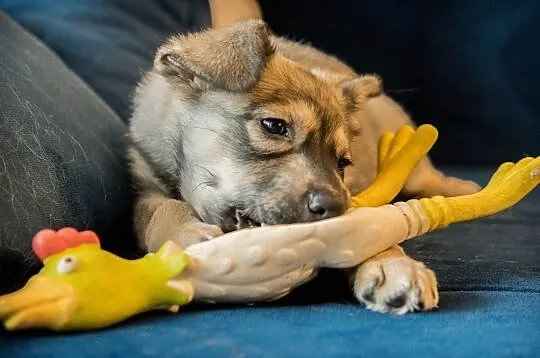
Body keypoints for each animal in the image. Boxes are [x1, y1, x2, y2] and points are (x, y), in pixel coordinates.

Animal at [127, 0, 480, 314]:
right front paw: (184, 235)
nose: (336, 207)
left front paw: (393, 264)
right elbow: (161, 210)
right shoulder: (146, 185)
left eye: (342, 163)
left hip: (416, 166)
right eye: (274, 126)